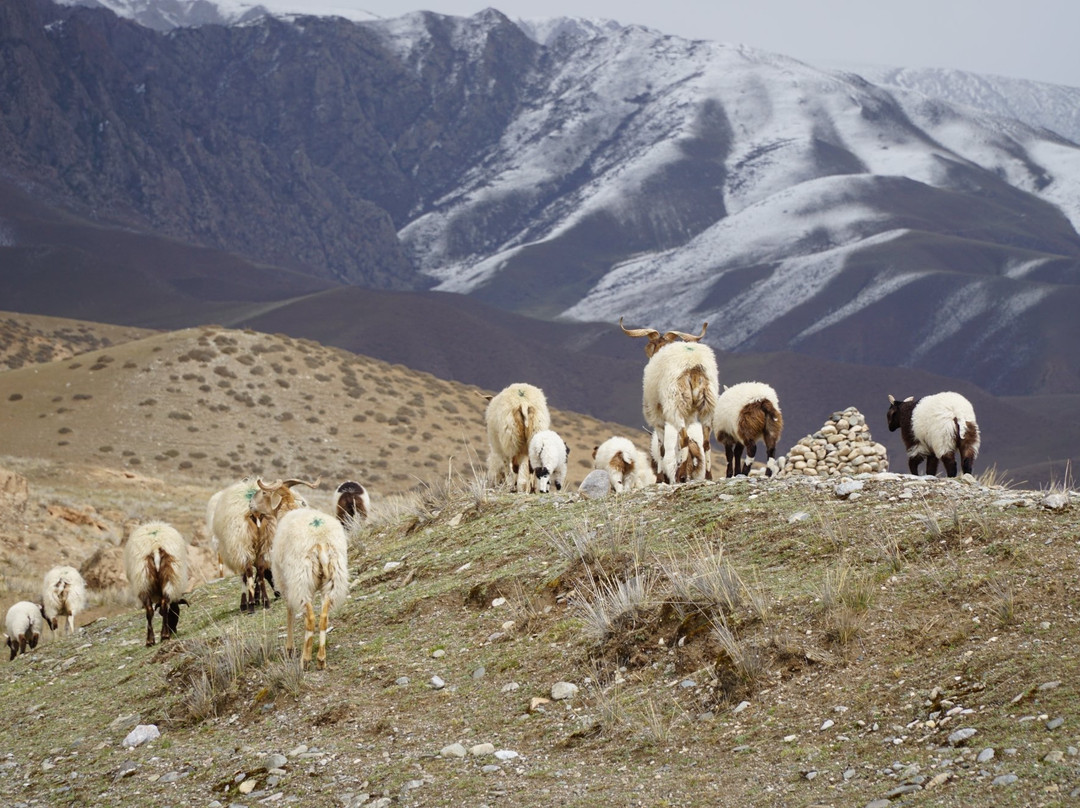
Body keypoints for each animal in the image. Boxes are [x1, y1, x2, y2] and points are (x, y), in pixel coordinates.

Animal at [125, 520, 193, 648]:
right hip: (164, 577)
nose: (174, 631)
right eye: (176, 613)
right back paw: (159, 638)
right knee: (160, 606)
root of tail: (155, 546)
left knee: (155, 608)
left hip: (144, 579)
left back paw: (157, 638)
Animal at [208, 473, 315, 613]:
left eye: (264, 492)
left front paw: (247, 603)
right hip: (264, 545)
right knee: (260, 570)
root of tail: (255, 514)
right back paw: (265, 601)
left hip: (243, 544)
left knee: (249, 571)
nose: (251, 504)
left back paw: (252, 605)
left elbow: (247, 576)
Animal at [622, 319, 721, 483]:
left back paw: (681, 475)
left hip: (675, 402)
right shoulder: (688, 415)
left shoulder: (656, 413)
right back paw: (707, 476)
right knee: (704, 442)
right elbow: (676, 445)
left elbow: (662, 448)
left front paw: (660, 478)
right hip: (707, 404)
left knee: (685, 439)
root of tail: (694, 365)